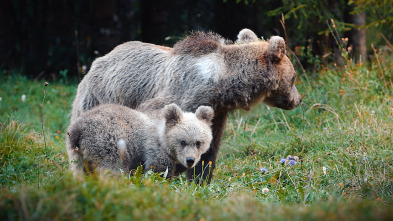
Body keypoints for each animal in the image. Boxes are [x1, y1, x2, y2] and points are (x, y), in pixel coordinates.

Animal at [70, 27, 302, 183]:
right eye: (294, 78)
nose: (298, 100)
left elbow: (208, 153)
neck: (219, 85)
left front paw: (200, 180)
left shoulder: (216, 113)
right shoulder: (177, 97)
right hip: (98, 97)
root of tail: (97, 61)